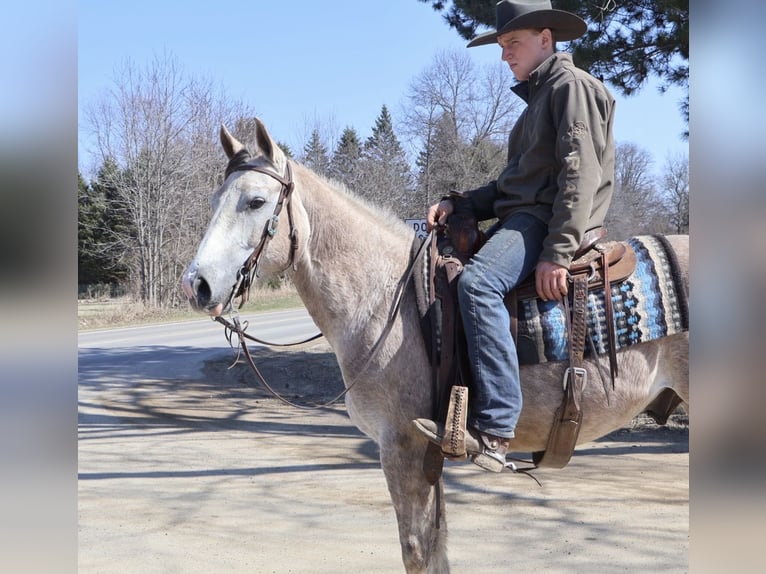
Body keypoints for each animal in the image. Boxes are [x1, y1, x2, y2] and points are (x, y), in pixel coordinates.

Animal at [181, 119, 689, 574]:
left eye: (256, 201)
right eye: (212, 200)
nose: (196, 285)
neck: (385, 299)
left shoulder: (401, 448)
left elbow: (416, 552)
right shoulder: (429, 457)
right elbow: (436, 549)